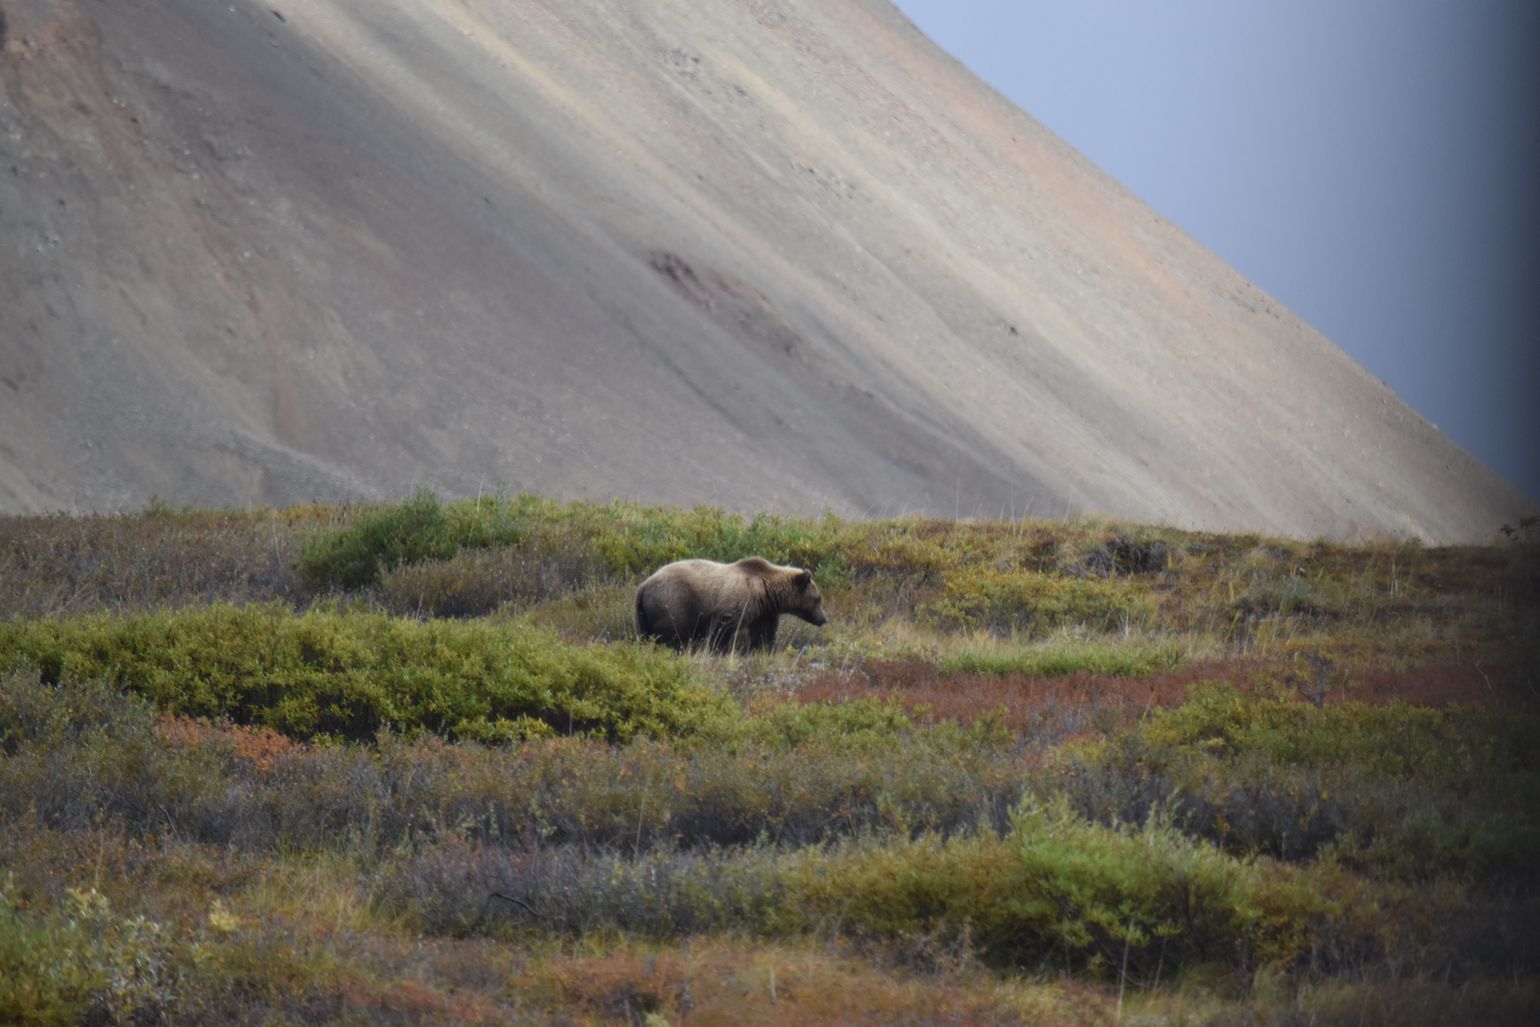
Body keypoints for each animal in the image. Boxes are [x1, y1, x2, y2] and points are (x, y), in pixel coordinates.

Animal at [635, 557, 827, 652]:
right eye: (818, 598)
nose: (824, 619)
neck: (767, 591)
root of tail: (643, 586)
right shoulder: (737, 602)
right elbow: (722, 629)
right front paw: (718, 649)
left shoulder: (764, 611)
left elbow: (763, 633)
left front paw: (762, 648)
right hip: (675, 601)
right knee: (672, 631)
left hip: (643, 614)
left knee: (644, 633)